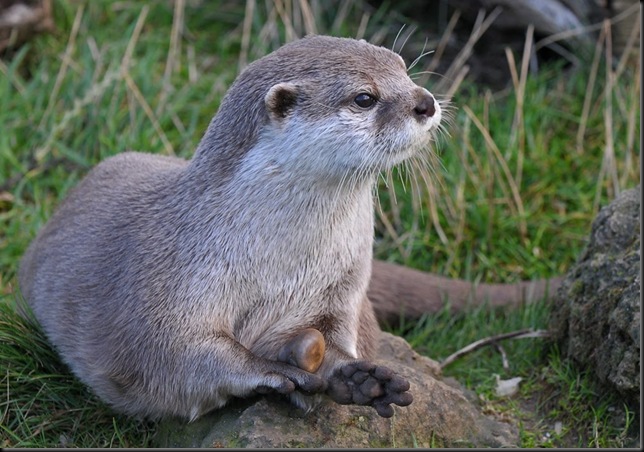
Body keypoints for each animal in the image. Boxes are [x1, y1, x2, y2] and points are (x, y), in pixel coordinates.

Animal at [16, 34, 560, 420]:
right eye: (364, 98)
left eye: (403, 68)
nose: (425, 101)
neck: (281, 261)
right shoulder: (170, 286)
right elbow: (178, 353)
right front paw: (275, 373)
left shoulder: (344, 285)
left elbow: (337, 336)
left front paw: (354, 377)